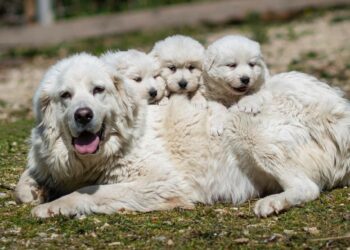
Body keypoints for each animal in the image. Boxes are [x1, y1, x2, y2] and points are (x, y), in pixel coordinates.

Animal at [15, 53, 348, 218]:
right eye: (66, 96)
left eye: (99, 90)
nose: (83, 115)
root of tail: (336, 106)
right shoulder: (49, 160)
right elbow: (24, 182)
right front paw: (35, 191)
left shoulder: (160, 182)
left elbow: (90, 192)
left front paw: (52, 206)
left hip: (245, 125)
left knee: (307, 187)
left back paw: (274, 202)